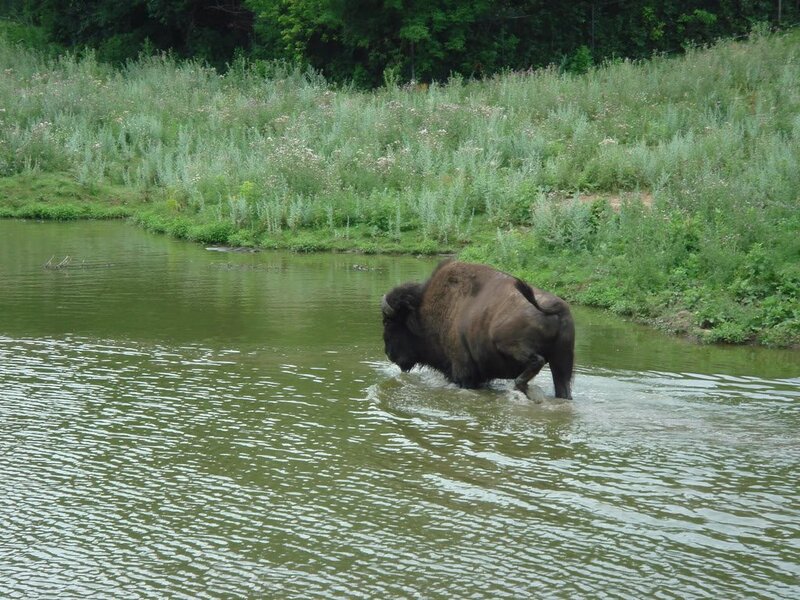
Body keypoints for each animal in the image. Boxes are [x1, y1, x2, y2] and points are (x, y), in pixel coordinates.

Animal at [381, 260, 575, 399]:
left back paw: (520, 386)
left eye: (388, 323)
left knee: (536, 360)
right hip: (561, 363)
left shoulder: (463, 372)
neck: (422, 311)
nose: (389, 353)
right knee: (562, 386)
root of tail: (554, 307)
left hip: (506, 343)